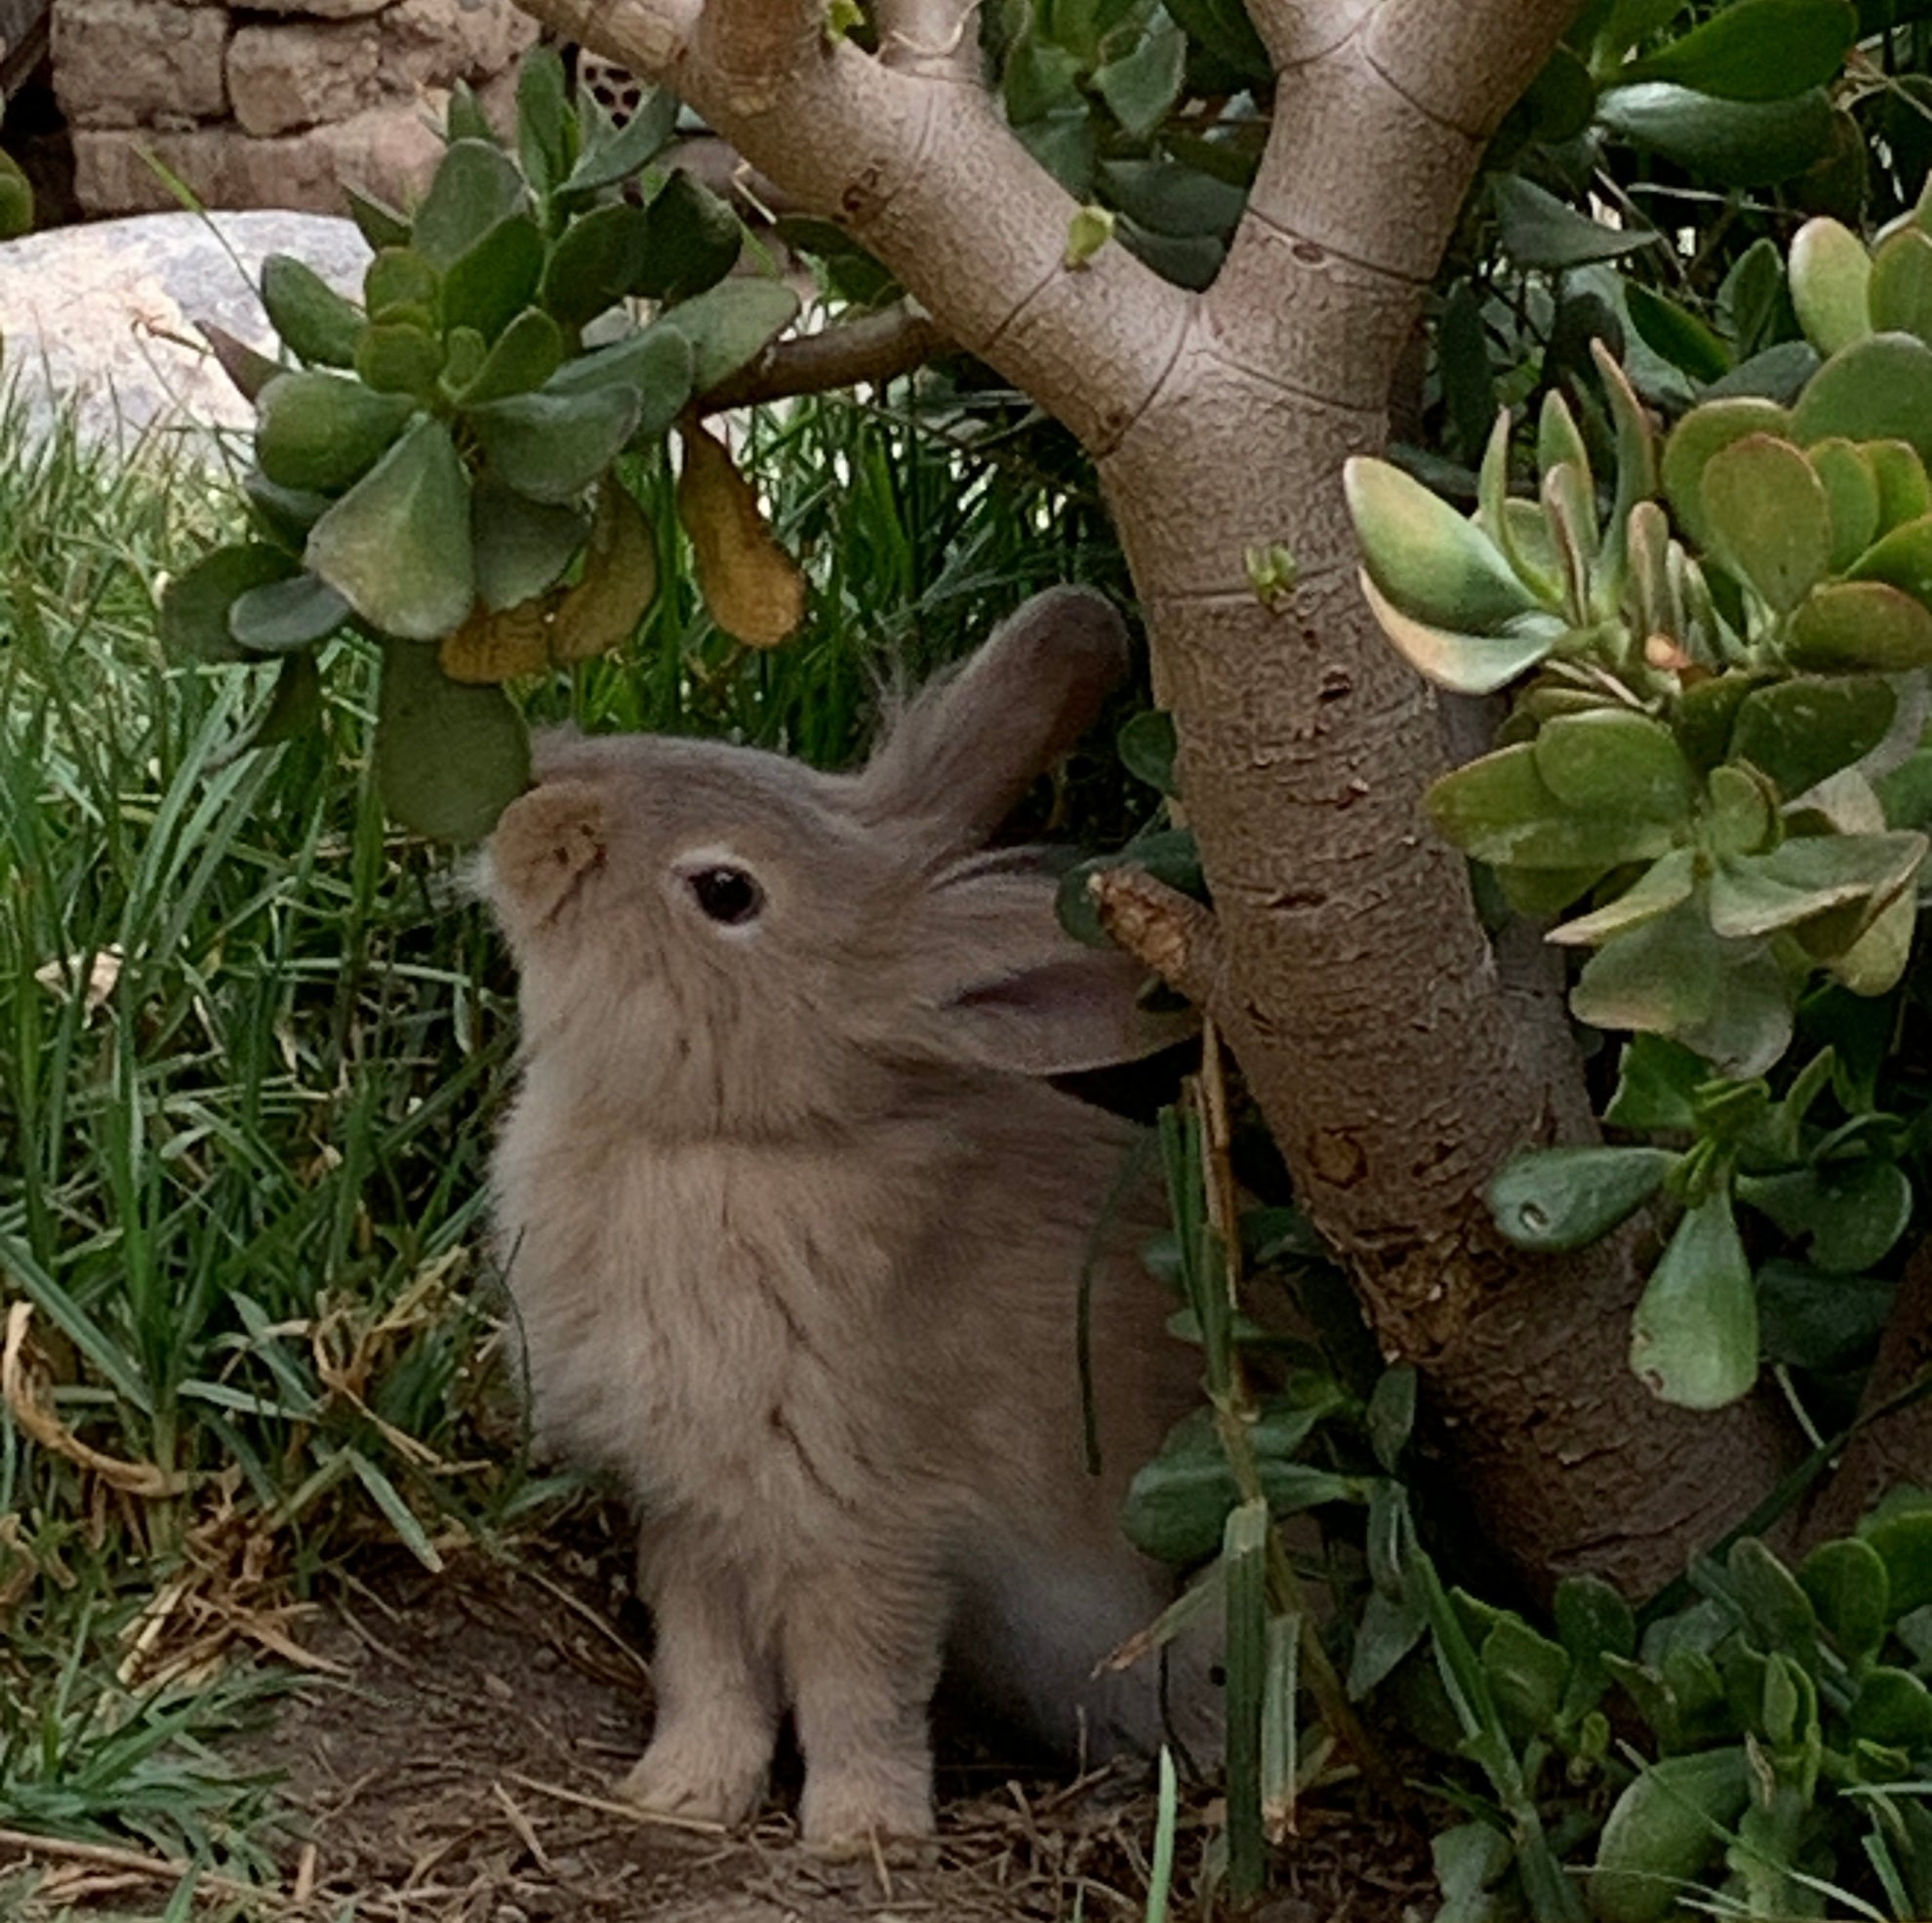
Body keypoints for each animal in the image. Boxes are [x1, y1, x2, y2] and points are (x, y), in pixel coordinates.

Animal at [479, 586, 1216, 1858]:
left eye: (727, 893)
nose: (535, 791)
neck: (729, 1141)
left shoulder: (866, 1524)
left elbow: (856, 1685)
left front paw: (862, 1834)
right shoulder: (695, 1518)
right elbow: (706, 1670)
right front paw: (680, 1796)